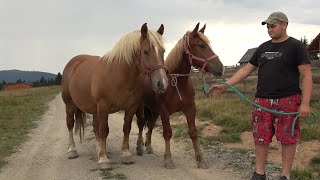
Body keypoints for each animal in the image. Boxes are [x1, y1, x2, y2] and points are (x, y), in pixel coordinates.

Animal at [61, 23, 169, 169]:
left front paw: (125, 155)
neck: (119, 75)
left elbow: (126, 128)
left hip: (94, 109)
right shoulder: (103, 106)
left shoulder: (131, 106)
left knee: (95, 127)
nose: (161, 83)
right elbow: (104, 130)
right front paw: (103, 160)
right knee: (70, 124)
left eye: (163, 51)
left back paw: (98, 149)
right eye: (145, 52)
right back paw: (72, 151)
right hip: (70, 105)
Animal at [136, 22, 224, 169]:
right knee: (141, 123)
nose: (220, 68)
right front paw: (168, 159)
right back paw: (139, 147)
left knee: (151, 125)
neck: (176, 83)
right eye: (201, 45)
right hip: (142, 108)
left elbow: (193, 132)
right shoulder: (164, 111)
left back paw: (148, 147)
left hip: (154, 111)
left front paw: (201, 159)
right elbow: (167, 133)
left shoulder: (190, 109)